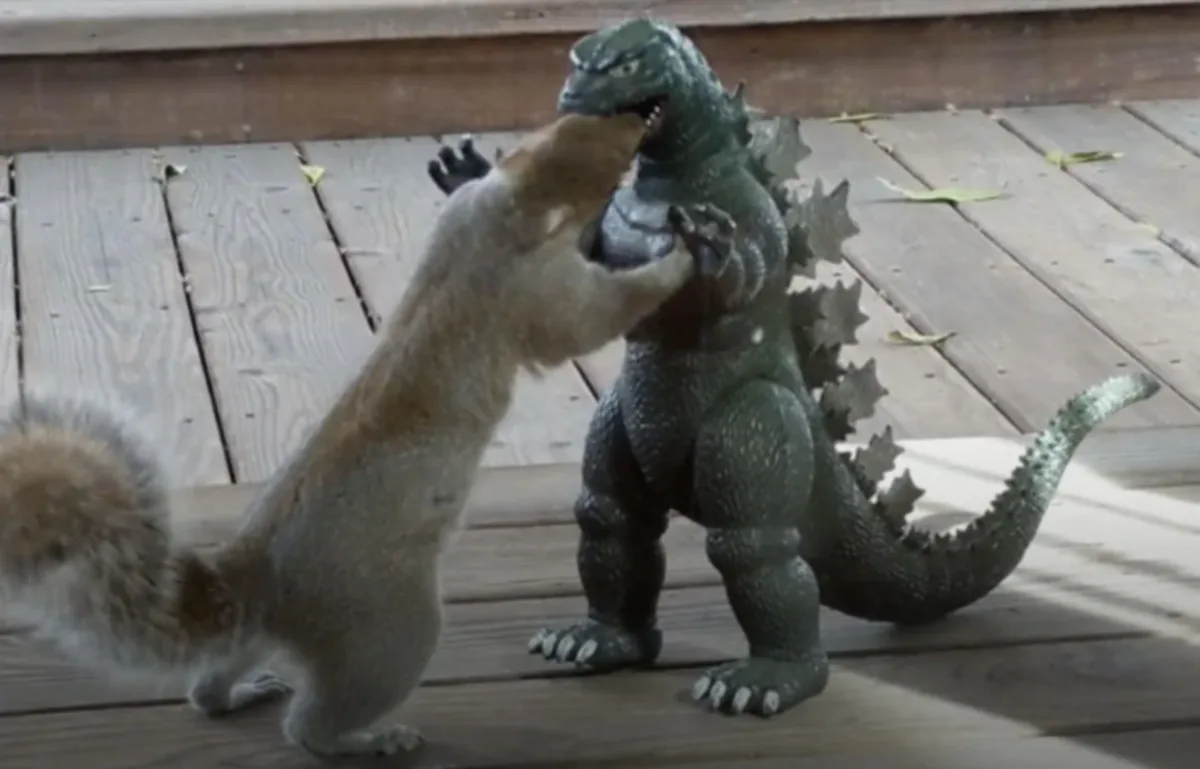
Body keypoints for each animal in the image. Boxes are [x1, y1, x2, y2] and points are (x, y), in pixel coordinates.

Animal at [0, 111, 722, 758]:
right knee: (314, 723)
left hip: (263, 637)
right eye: (611, 161)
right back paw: (366, 738)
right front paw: (682, 255)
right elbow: (590, 317)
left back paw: (237, 694)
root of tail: (260, 581)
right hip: (388, 630)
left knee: (213, 681)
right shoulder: (532, 290)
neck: (506, 210)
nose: (639, 118)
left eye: (580, 121)